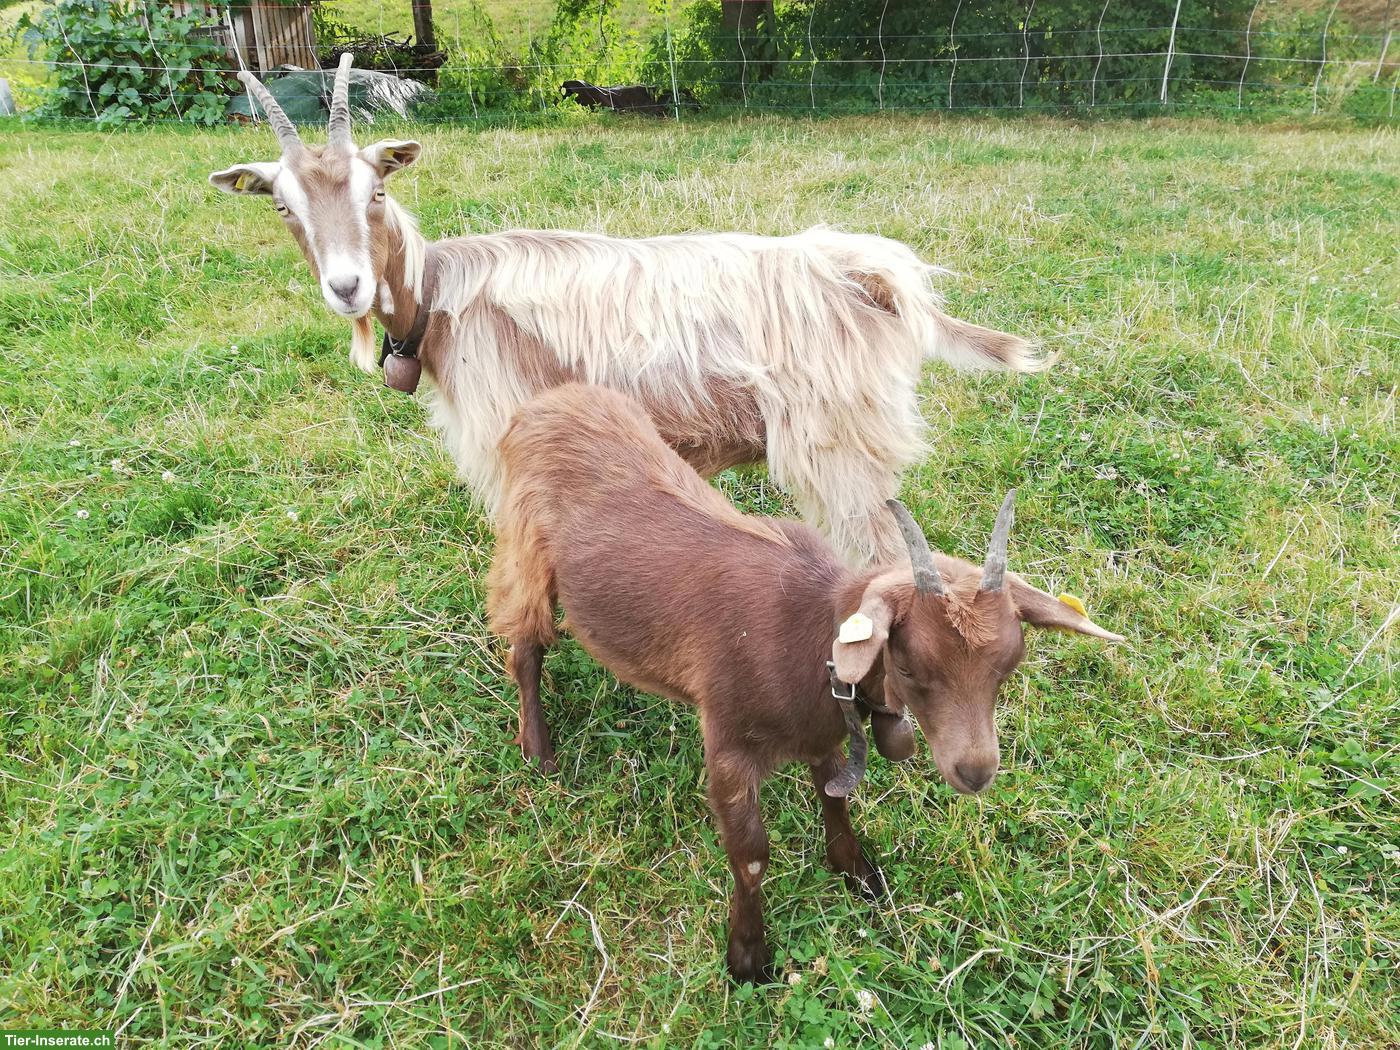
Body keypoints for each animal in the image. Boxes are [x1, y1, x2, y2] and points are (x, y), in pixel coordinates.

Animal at [208, 56, 1046, 566]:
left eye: (375, 189)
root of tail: (866, 272)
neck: (441, 296)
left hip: (836, 448)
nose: (346, 286)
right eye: (283, 206)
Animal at [486, 383, 1125, 983]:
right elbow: (751, 857)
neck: (810, 637)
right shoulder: (728, 745)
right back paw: (538, 749)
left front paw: (859, 875)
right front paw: (747, 958)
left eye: (1008, 665)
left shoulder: (826, 735)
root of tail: (542, 404)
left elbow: (835, 799)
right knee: (524, 643)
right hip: (524, 548)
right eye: (909, 666)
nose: (976, 771)